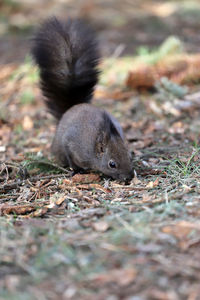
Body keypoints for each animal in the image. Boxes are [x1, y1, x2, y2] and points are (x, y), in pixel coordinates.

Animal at [31, 17, 133, 180]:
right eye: (112, 164)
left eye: (130, 157)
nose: (129, 177)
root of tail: (71, 108)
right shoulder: (71, 144)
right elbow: (71, 157)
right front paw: (75, 169)